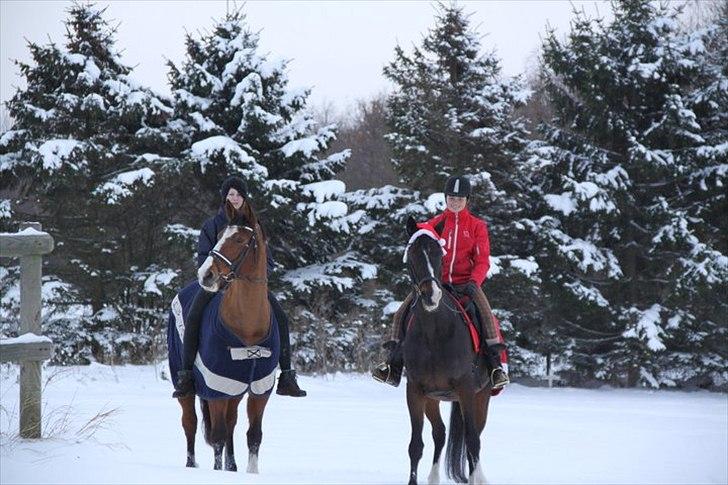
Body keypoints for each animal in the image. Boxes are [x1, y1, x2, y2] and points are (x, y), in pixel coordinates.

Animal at [170, 199, 272, 470]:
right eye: (218, 237)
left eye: (238, 239)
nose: (206, 275)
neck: (247, 326)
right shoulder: (215, 388)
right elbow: (216, 436)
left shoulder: (259, 391)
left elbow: (253, 436)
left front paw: (248, 471)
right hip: (187, 387)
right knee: (190, 423)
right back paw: (191, 465)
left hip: (233, 392)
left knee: (231, 424)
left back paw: (233, 466)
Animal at [400, 216, 492, 484]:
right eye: (413, 254)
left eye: (438, 254)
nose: (432, 295)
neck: (435, 332)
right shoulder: (415, 390)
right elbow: (415, 446)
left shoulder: (466, 389)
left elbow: (472, 441)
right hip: (434, 398)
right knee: (440, 433)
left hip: (481, 397)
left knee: (475, 439)